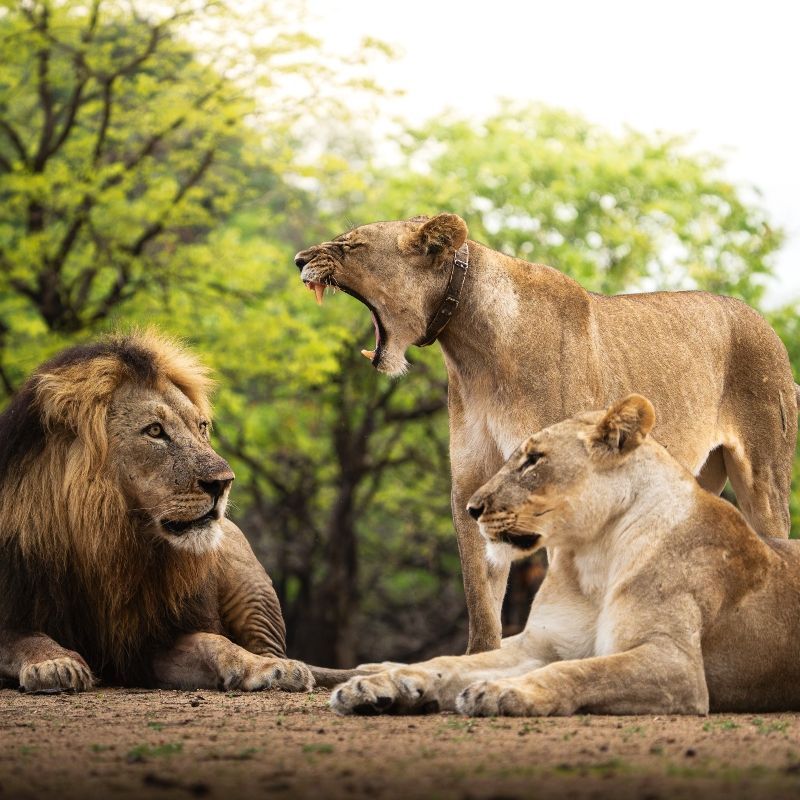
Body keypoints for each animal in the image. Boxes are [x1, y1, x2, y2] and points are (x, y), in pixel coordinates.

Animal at [0, 332, 346, 693]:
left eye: (202, 427)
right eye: (154, 431)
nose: (224, 482)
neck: (106, 540)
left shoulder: (148, 644)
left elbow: (215, 642)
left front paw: (265, 667)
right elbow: (25, 638)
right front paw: (54, 663)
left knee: (267, 644)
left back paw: (281, 665)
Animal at [294, 214, 800, 653]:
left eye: (349, 245)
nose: (298, 259)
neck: (472, 351)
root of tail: (763, 321)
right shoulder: (473, 483)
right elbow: (481, 594)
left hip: (765, 478)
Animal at [331, 394, 800, 716]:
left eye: (533, 461)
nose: (472, 508)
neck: (593, 555)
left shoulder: (676, 664)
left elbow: (578, 671)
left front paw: (503, 692)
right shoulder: (539, 644)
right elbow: (446, 662)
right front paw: (381, 687)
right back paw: (370, 674)